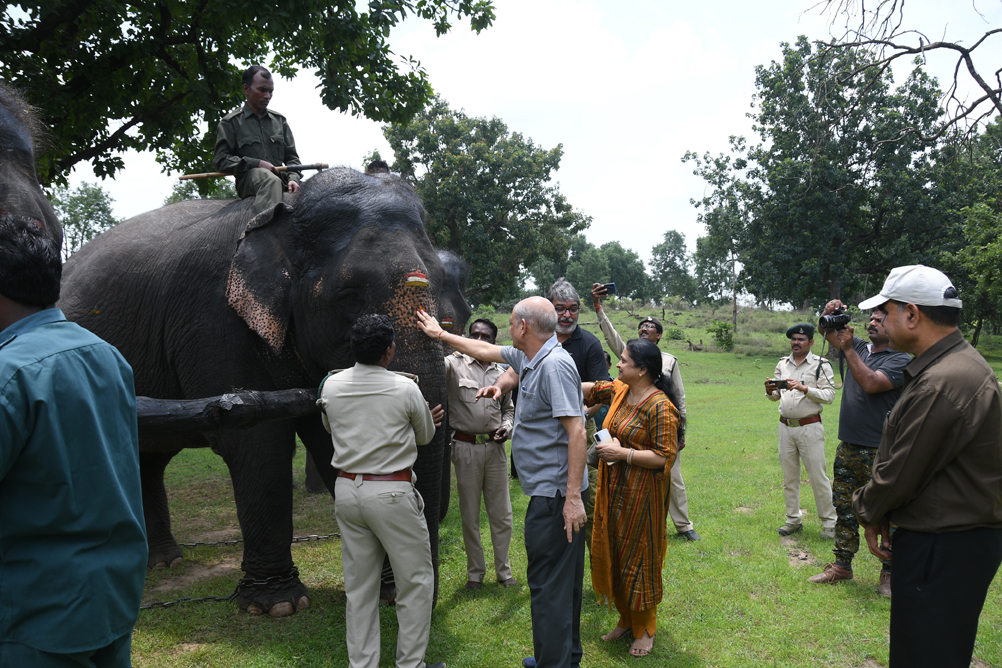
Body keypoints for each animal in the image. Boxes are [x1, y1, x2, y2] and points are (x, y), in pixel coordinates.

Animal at [58, 168, 458, 616]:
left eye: (442, 283)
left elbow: (331, 443)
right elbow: (256, 443)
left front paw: (381, 592)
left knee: (150, 457)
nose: (402, 599)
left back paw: (164, 561)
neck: (287, 210)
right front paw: (278, 606)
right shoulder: (213, 320)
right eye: (349, 296)